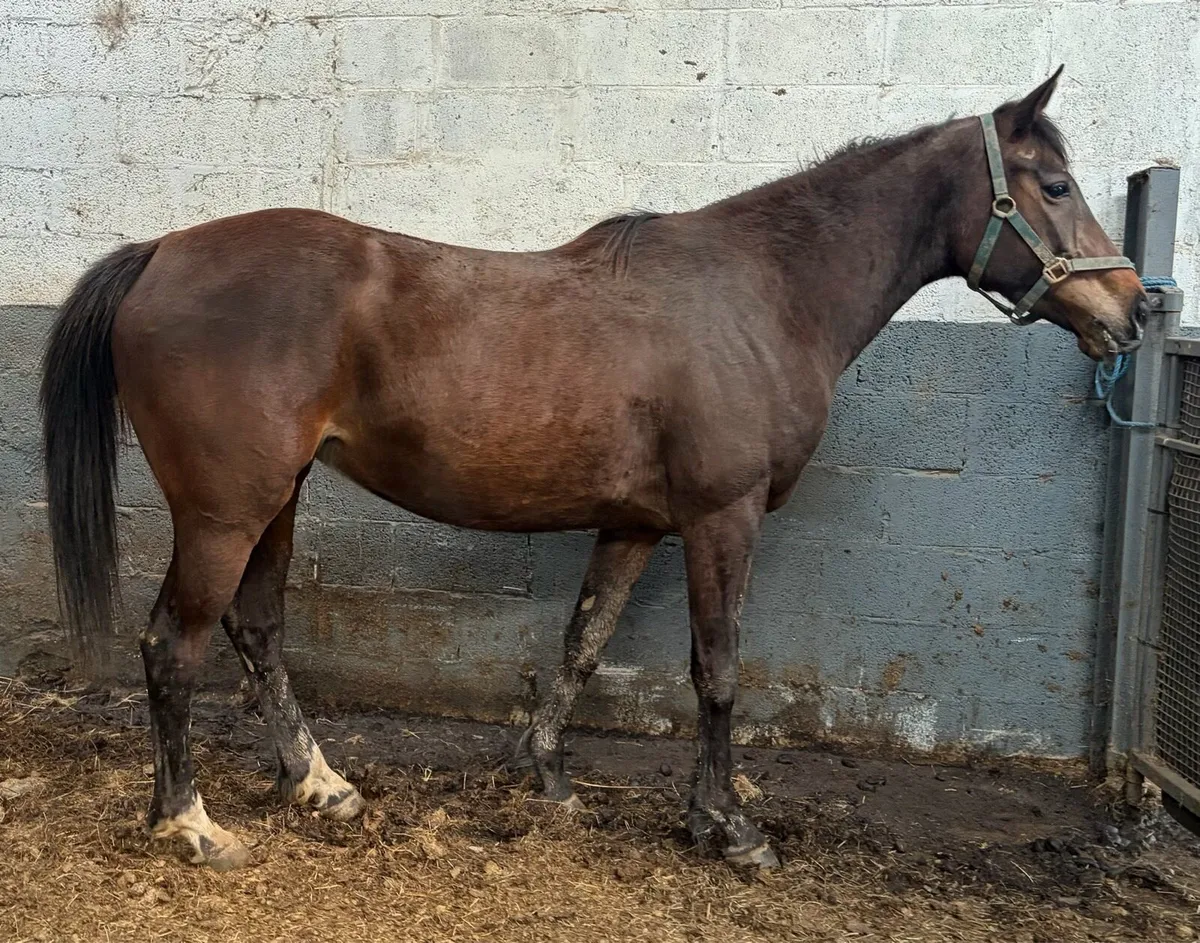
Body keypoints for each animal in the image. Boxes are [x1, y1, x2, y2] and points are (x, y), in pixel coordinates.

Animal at [39, 67, 1144, 871]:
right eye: (1053, 185)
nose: (1133, 309)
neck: (762, 294)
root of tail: (161, 251)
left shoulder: (636, 523)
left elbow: (583, 642)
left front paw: (553, 780)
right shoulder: (722, 516)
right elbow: (717, 667)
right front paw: (730, 827)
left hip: (276, 501)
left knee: (257, 630)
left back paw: (323, 785)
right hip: (227, 511)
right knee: (172, 645)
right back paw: (189, 822)